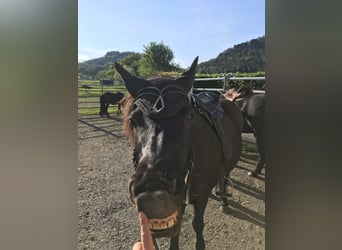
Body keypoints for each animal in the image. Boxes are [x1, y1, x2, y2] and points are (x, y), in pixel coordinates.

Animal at [115, 57, 243, 249]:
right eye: (133, 121)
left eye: (188, 116)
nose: (154, 199)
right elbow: (177, 228)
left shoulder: (200, 197)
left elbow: (197, 224)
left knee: (225, 175)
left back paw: (224, 199)